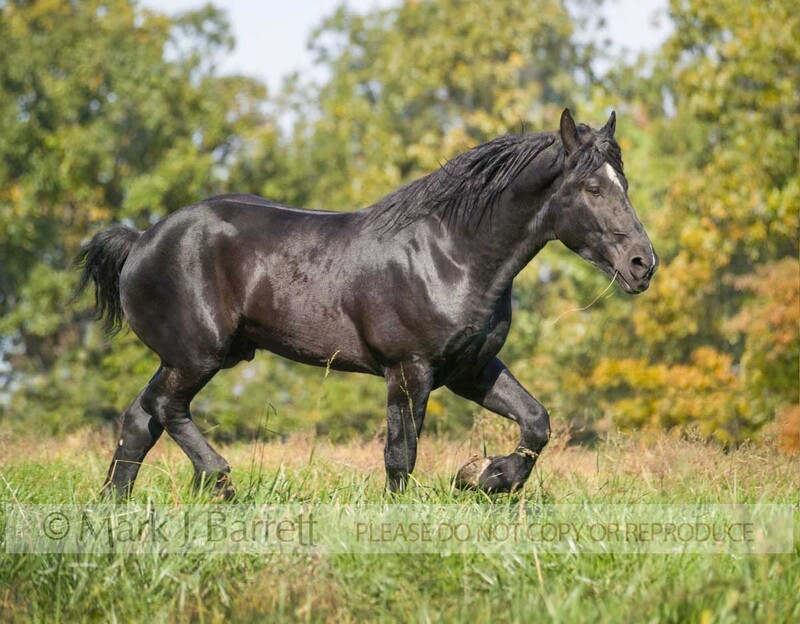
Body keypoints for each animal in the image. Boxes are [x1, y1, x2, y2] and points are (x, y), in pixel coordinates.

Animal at [75, 109, 657, 499]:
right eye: (591, 187)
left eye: (624, 181)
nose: (642, 264)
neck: (451, 254)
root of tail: (141, 240)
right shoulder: (408, 370)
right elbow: (401, 457)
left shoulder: (470, 368)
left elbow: (536, 420)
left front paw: (484, 476)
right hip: (199, 356)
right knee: (165, 409)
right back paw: (218, 479)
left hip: (187, 358)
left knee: (139, 419)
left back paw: (116, 507)